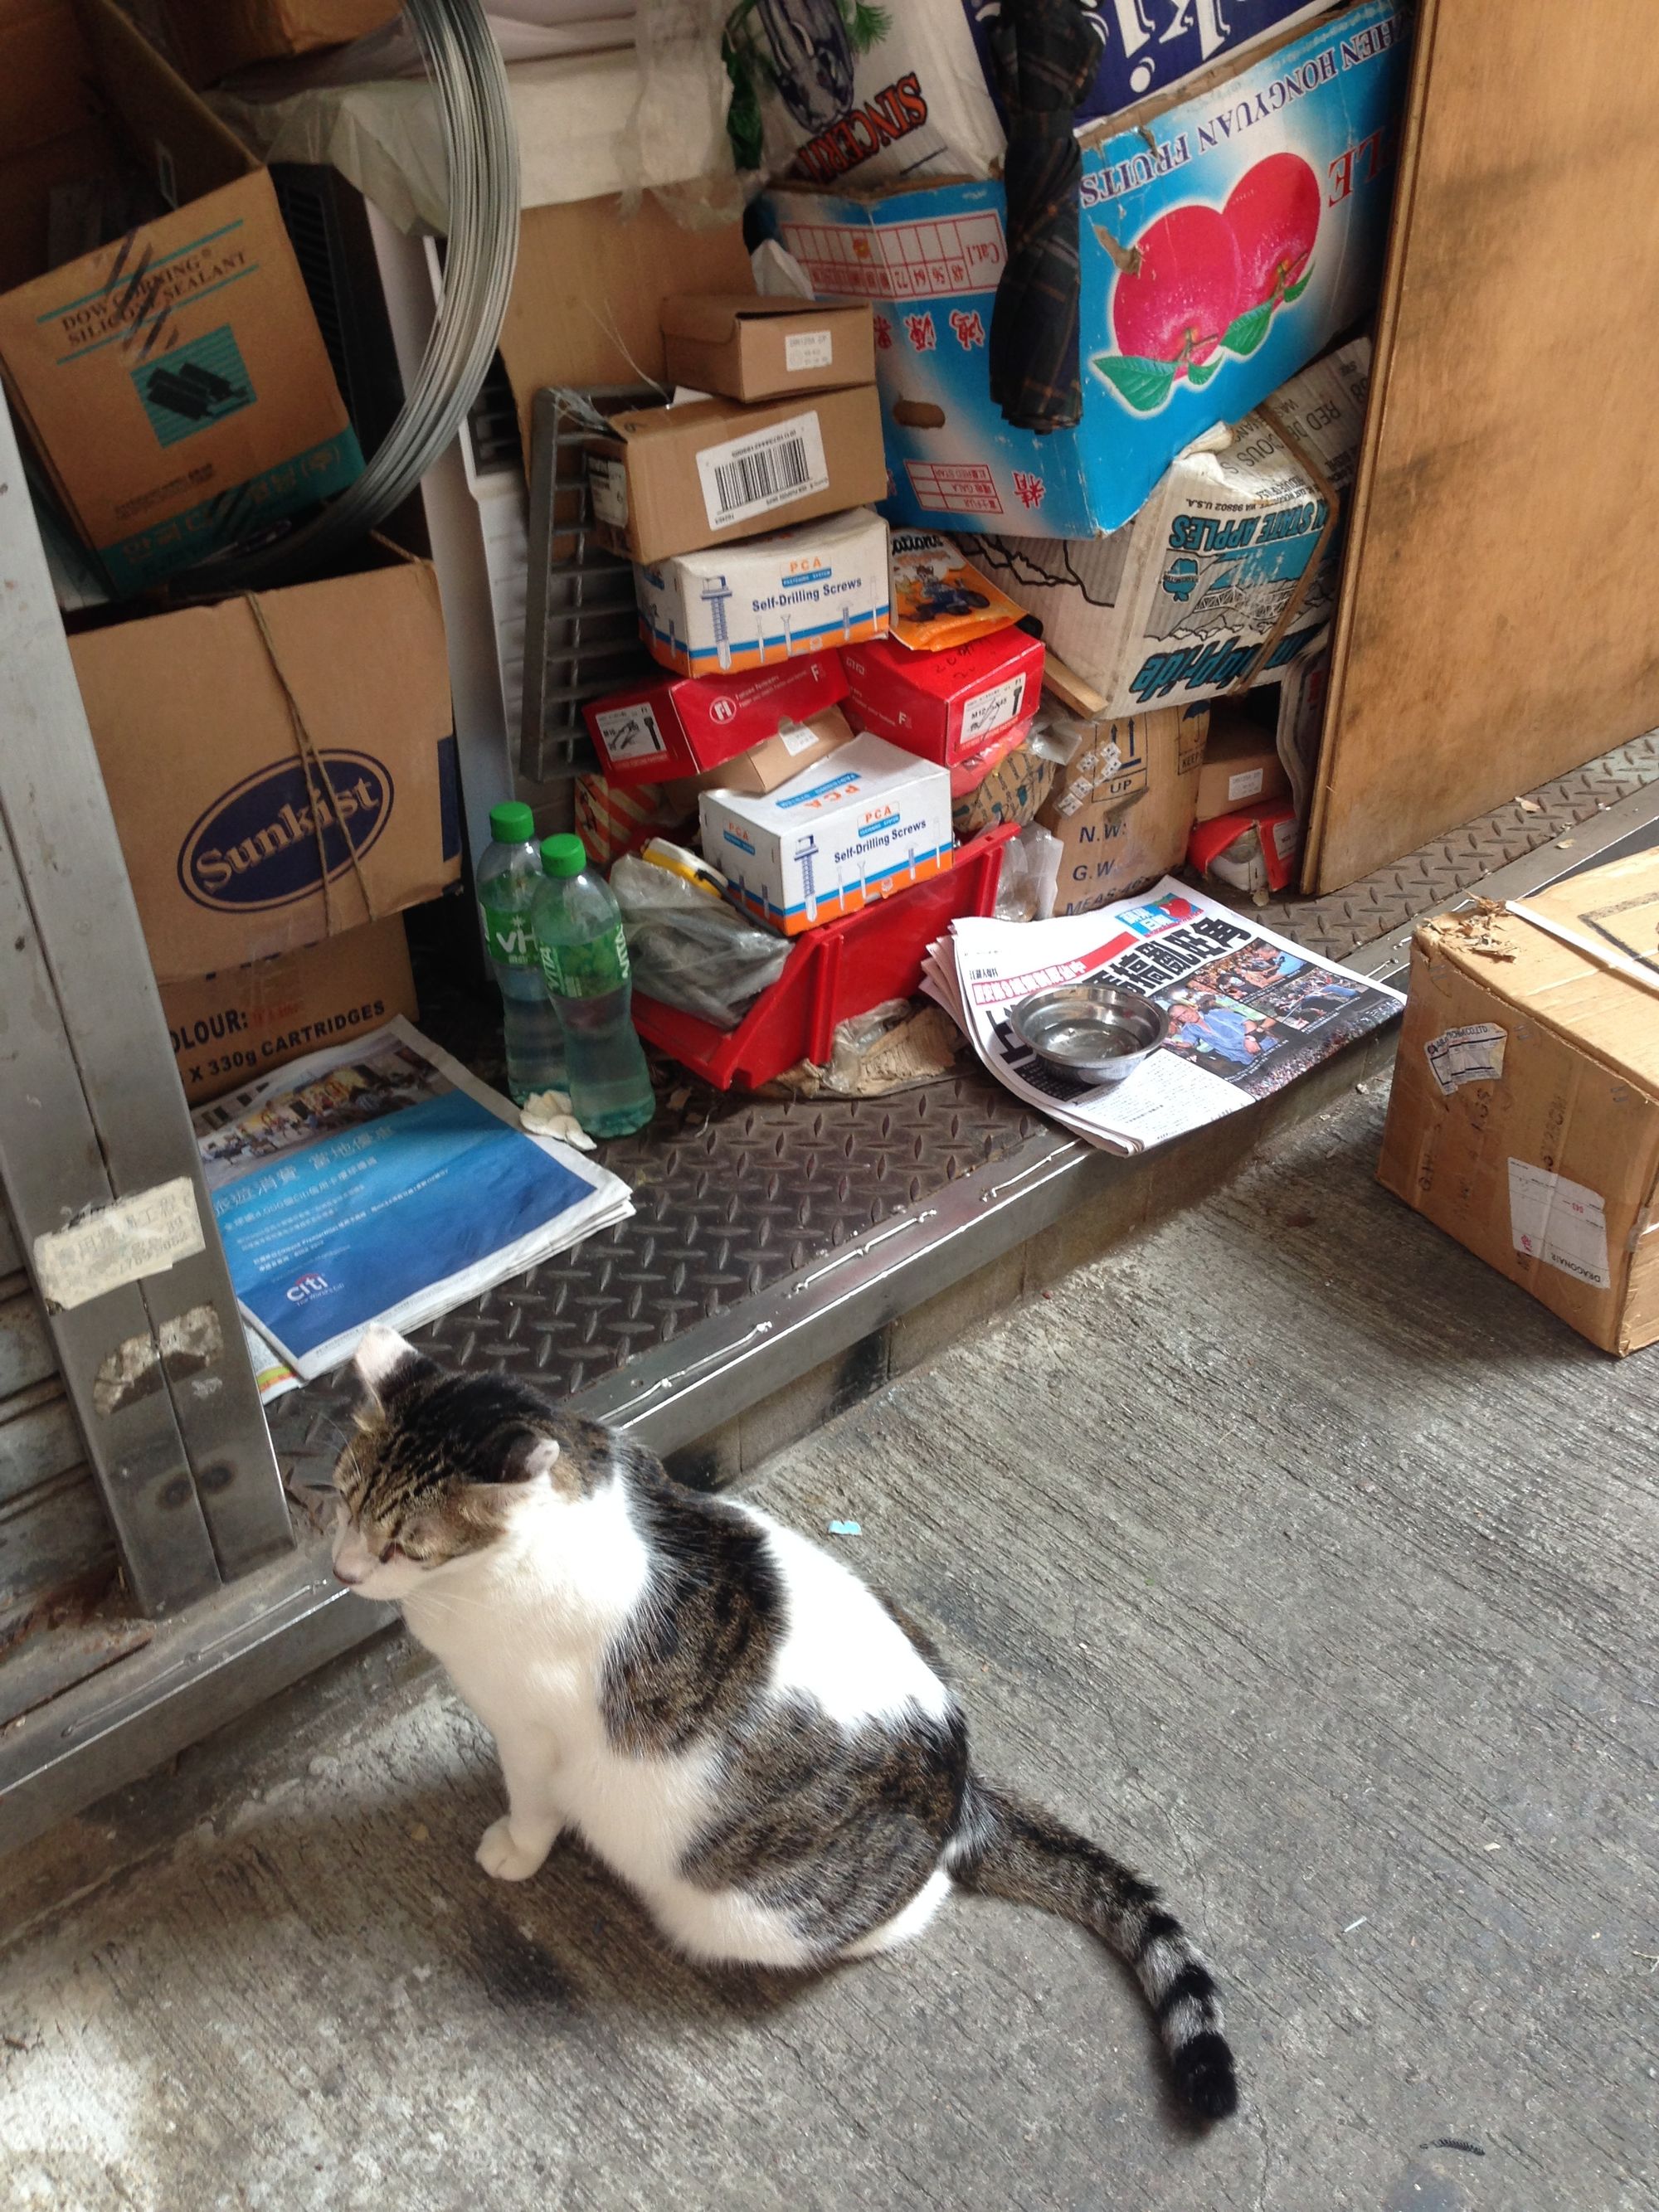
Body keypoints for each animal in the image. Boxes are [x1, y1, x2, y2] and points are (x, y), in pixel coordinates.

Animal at [333, 1318, 1238, 2114]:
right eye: (342, 1498)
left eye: (404, 1545)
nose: (344, 1572)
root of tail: (958, 1782)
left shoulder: (528, 1731)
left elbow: (530, 1802)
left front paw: (515, 1848)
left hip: (744, 1910)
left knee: (916, 1903)